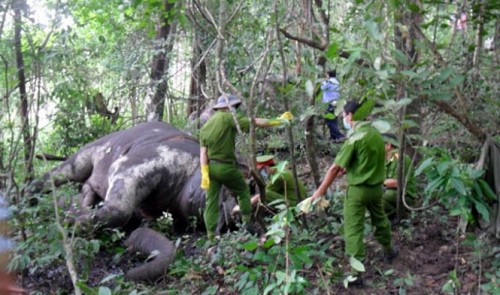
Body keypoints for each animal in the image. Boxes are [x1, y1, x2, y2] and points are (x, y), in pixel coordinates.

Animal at [29, 122, 240, 282]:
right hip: (86, 155)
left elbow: (136, 227)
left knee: (86, 189)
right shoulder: (136, 163)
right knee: (57, 175)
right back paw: (28, 198)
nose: (232, 216)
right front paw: (71, 224)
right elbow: (119, 210)